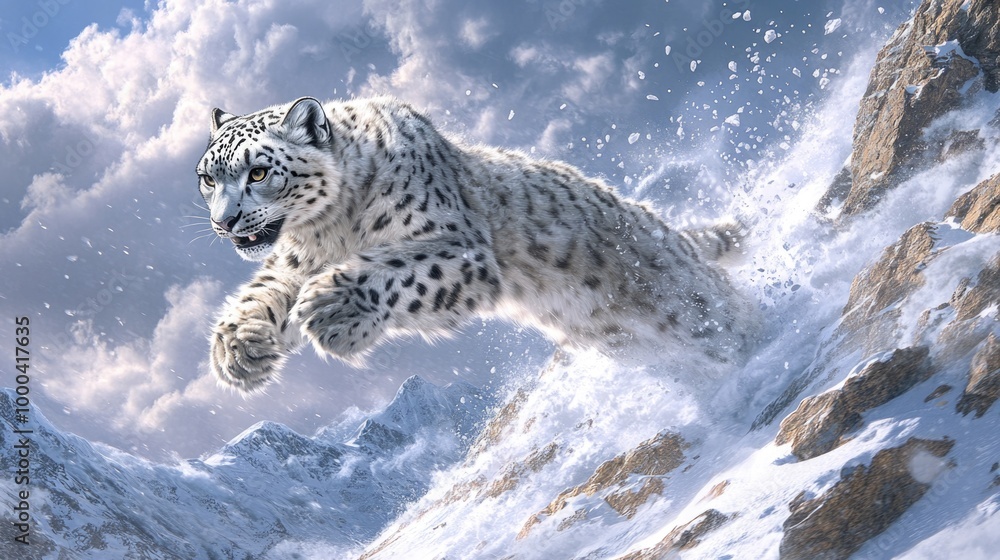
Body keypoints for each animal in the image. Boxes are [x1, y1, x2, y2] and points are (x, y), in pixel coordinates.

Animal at [195, 96, 756, 392]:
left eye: (259, 171)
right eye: (207, 177)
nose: (225, 222)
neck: (331, 229)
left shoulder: (458, 247)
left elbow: (394, 269)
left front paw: (333, 307)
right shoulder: (293, 262)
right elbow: (263, 292)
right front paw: (239, 350)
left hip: (691, 308)